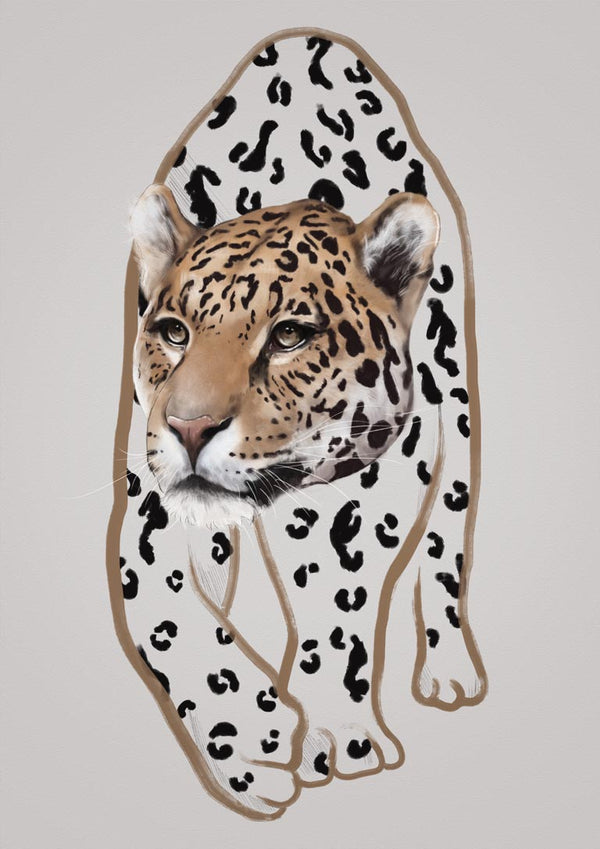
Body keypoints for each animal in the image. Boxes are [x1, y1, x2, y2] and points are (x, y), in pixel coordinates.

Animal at [108, 28, 487, 821]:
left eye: (289, 335)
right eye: (172, 331)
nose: (189, 427)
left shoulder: (365, 495)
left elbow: (338, 619)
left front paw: (338, 738)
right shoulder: (149, 508)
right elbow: (172, 618)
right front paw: (251, 736)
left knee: (445, 552)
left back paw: (449, 670)